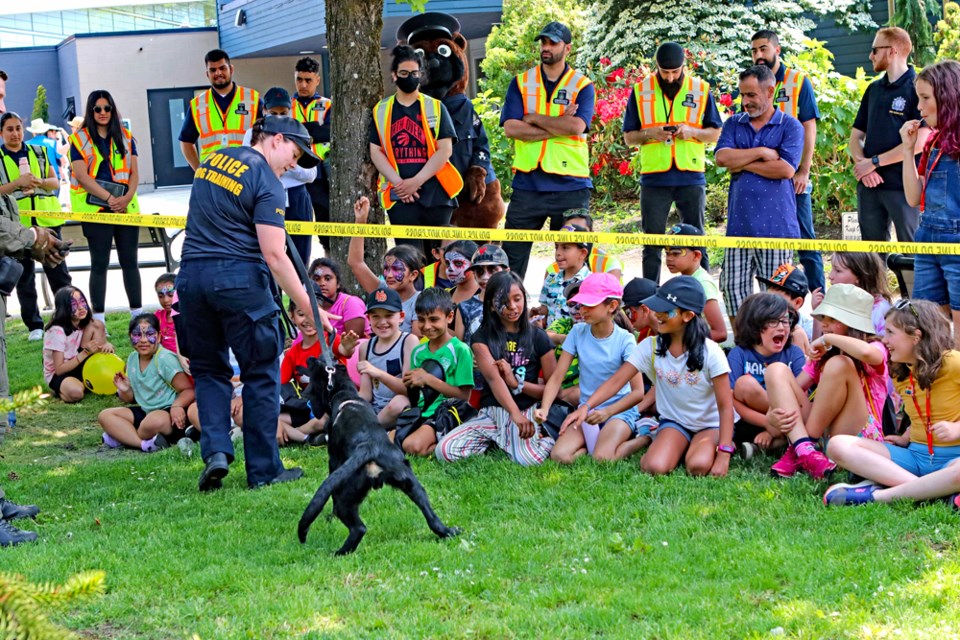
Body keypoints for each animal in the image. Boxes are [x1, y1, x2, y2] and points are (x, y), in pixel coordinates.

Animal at [296, 356, 458, 556]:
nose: (310, 358)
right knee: (432, 518)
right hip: (413, 484)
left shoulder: (333, 460)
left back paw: (339, 552)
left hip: (345, 496)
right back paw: (448, 531)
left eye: (315, 363)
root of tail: (370, 448)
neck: (346, 395)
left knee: (358, 527)